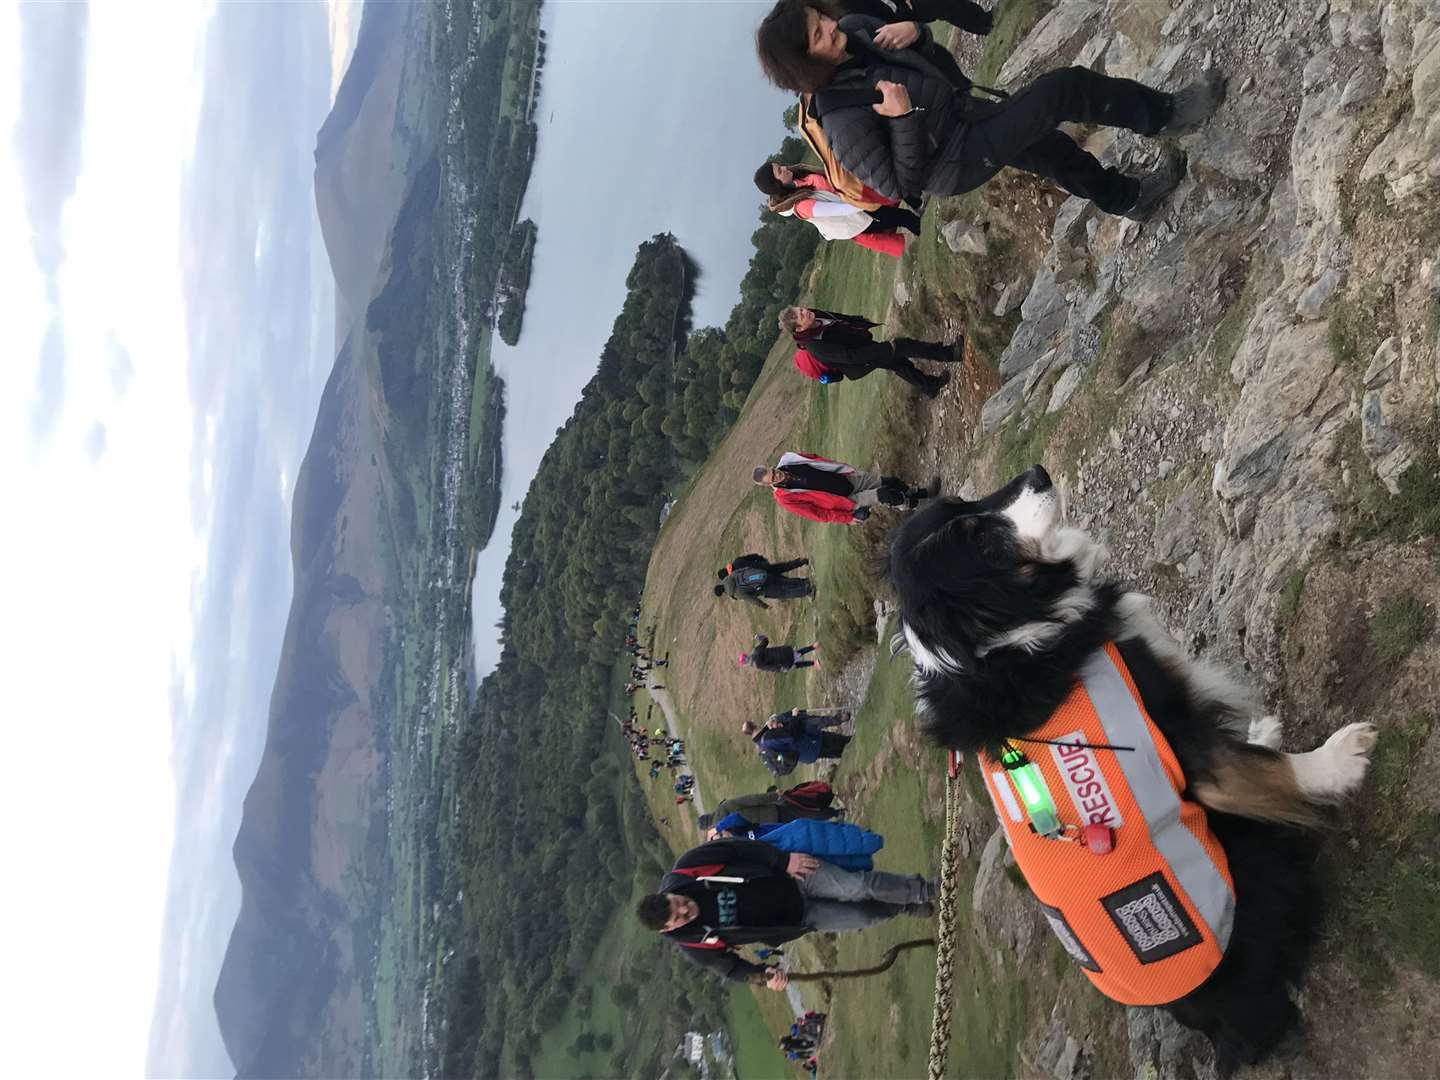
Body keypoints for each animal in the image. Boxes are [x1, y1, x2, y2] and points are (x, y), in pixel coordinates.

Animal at [887, 466, 1370, 1077]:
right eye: (980, 541)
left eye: (965, 501)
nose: (1037, 473)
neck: (1000, 646)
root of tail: (1221, 1032)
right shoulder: (1184, 747)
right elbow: (1261, 770)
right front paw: (1340, 758)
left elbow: (1249, 751)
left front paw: (1266, 733)